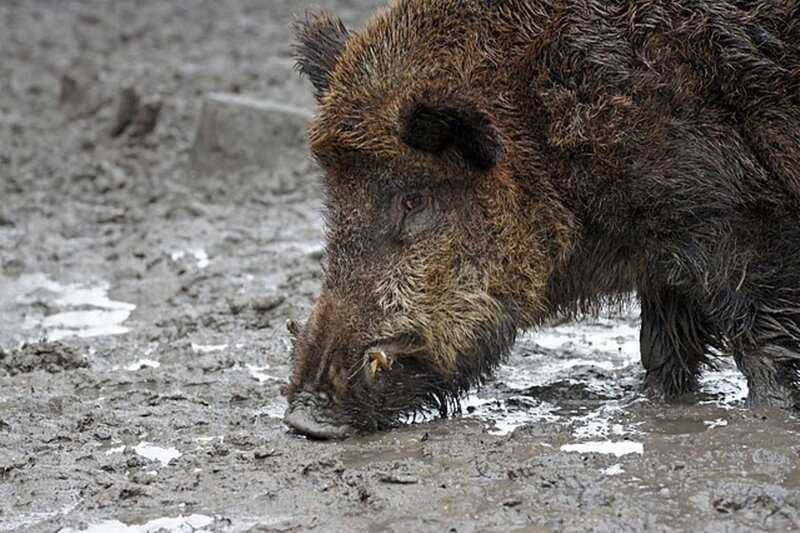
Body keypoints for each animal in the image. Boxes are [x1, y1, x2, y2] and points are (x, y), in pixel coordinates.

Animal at [282, 0, 800, 438]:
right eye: (336, 200)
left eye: (414, 200)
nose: (303, 419)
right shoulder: (665, 253)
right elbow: (662, 347)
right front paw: (655, 403)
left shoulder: (739, 218)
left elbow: (766, 345)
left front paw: (770, 417)